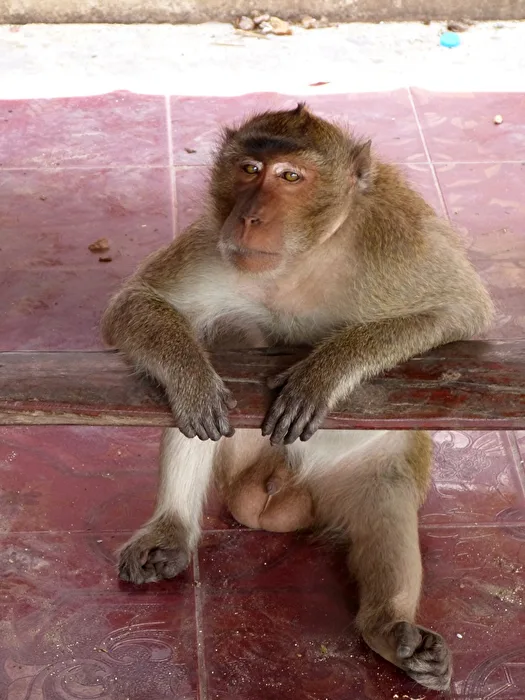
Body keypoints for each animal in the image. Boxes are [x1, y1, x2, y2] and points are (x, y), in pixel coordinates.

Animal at [101, 104, 493, 691]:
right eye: (248, 169)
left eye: (290, 176)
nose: (248, 218)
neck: (309, 256)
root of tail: (282, 481)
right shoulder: (214, 242)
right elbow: (135, 305)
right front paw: (192, 374)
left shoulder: (399, 235)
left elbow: (461, 312)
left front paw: (322, 374)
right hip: (239, 458)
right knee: (197, 407)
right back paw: (171, 531)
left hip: (354, 476)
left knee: (388, 497)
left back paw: (390, 627)